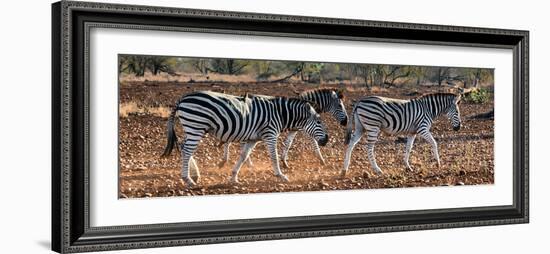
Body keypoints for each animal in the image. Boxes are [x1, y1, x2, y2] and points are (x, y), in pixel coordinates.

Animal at [162, 91, 330, 187]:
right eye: (319, 121)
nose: (327, 140)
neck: (280, 113)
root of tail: (182, 98)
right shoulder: (270, 134)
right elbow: (274, 156)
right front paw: (281, 176)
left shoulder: (252, 139)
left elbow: (243, 156)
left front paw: (233, 177)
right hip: (196, 126)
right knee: (186, 151)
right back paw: (188, 179)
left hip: (192, 128)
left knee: (183, 147)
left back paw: (194, 175)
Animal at [220, 88, 350, 170]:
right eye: (340, 105)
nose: (346, 122)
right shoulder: (305, 128)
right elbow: (314, 143)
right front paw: (322, 160)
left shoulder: (295, 129)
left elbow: (288, 143)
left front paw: (284, 162)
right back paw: (237, 162)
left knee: (230, 140)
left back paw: (227, 161)